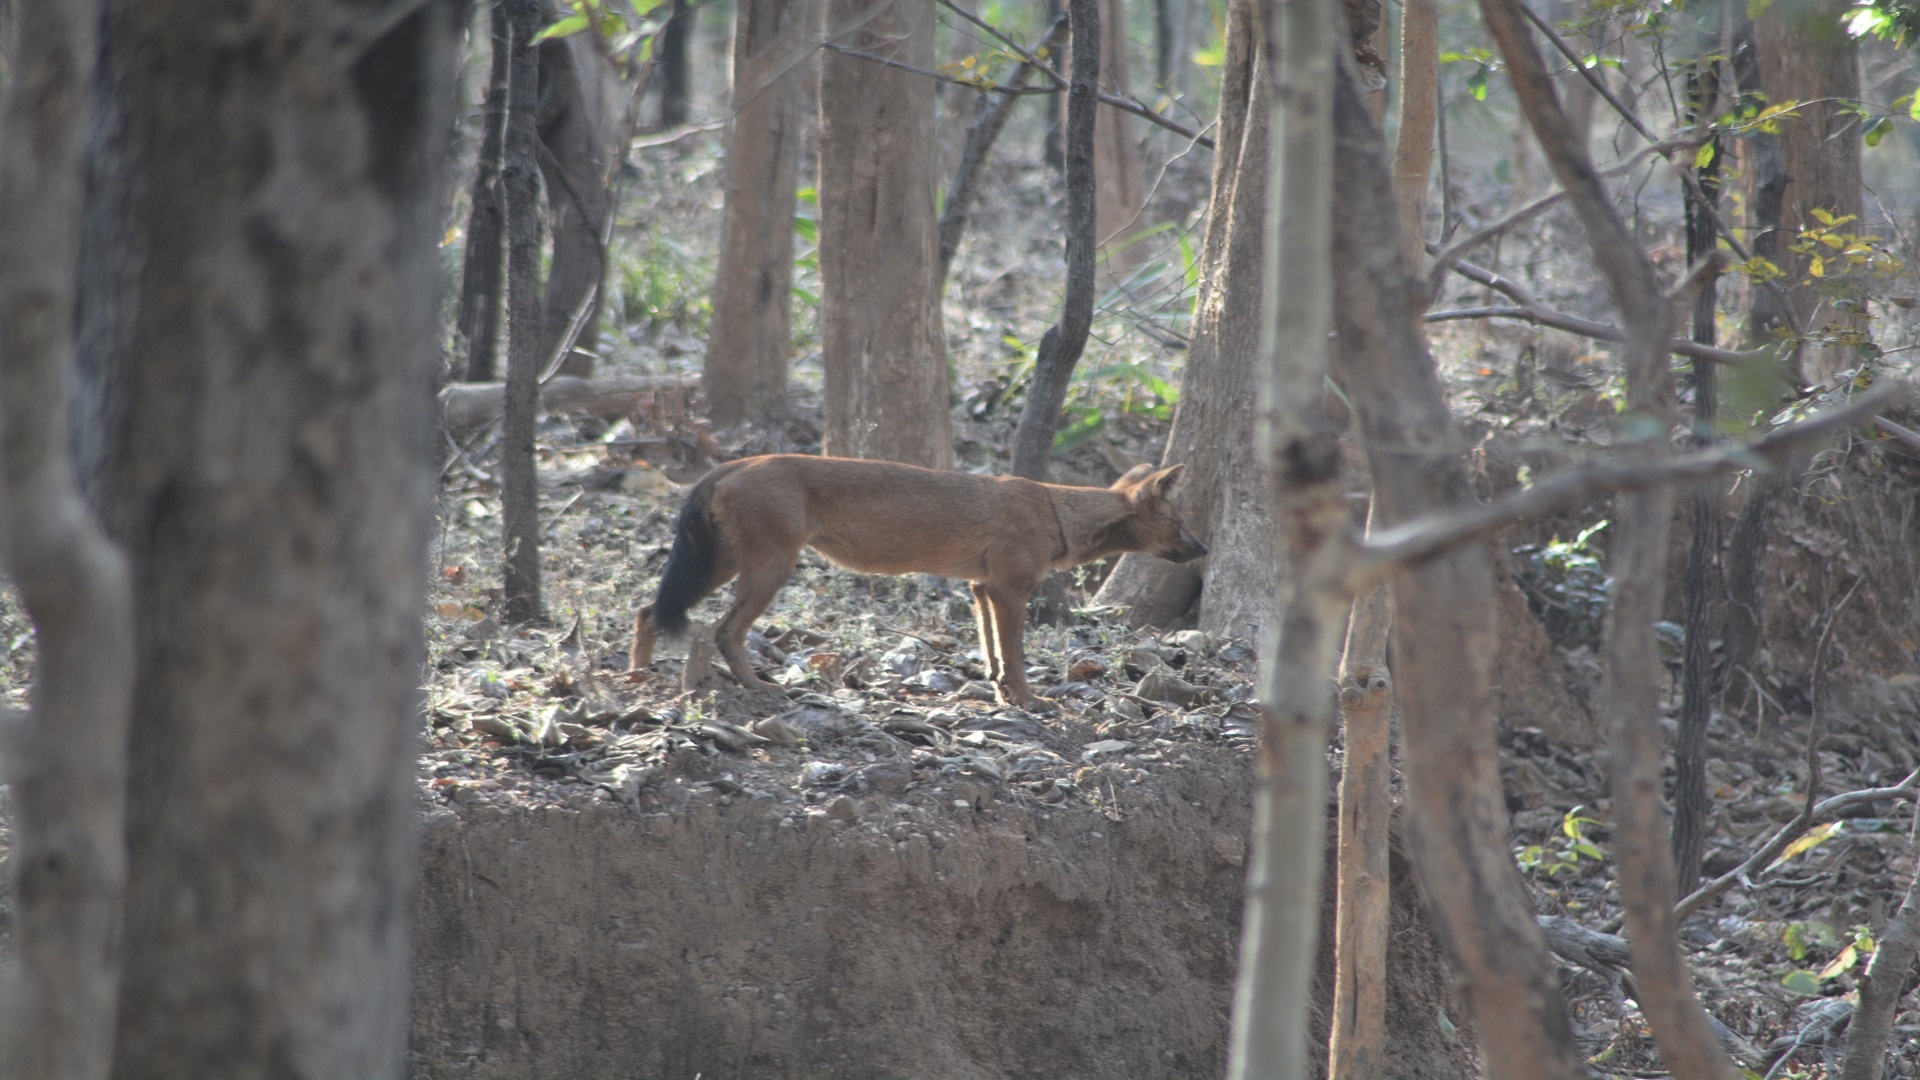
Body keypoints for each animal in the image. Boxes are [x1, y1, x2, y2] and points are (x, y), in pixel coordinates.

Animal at [629, 451, 1198, 707]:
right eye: (1180, 522)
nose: (1205, 549)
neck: (1057, 510)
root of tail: (736, 461)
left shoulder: (981, 588)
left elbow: (993, 651)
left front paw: (999, 692)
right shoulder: (1011, 589)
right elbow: (1014, 654)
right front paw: (1028, 700)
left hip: (727, 564)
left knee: (648, 609)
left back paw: (638, 677)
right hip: (771, 567)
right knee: (723, 630)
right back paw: (760, 688)